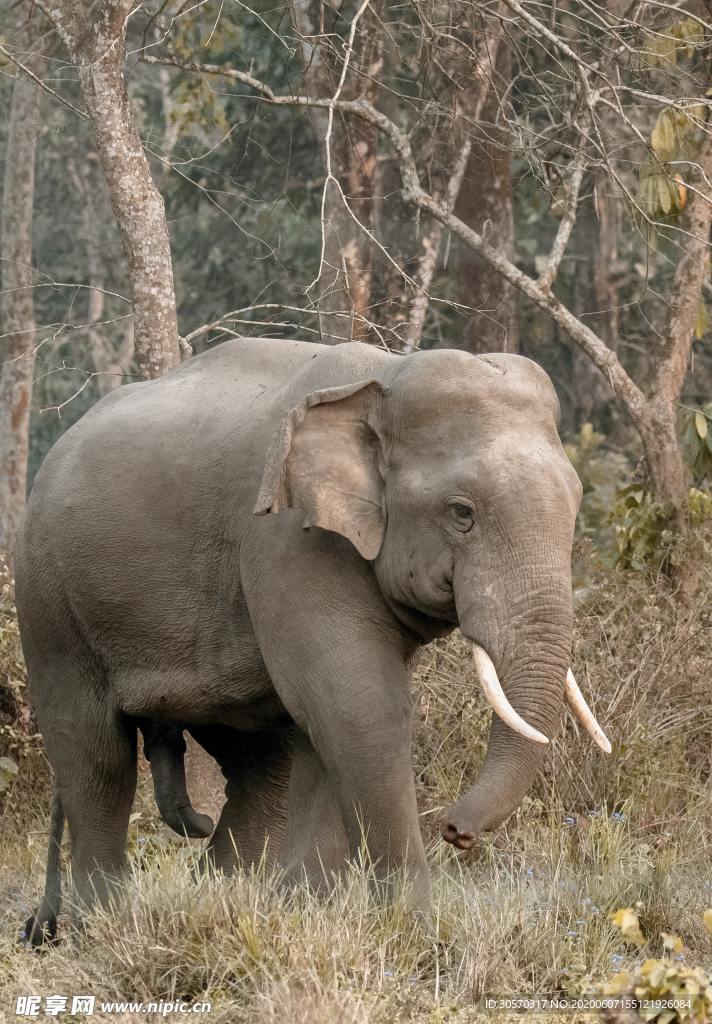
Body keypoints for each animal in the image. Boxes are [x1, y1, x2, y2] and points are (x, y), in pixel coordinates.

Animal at [15, 337, 610, 945]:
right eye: (461, 512)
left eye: (575, 505)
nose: (455, 830)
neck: (383, 377)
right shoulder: (289, 541)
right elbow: (359, 708)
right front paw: (414, 935)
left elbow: (329, 721)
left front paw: (310, 914)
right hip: (48, 595)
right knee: (95, 753)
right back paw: (99, 928)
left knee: (263, 764)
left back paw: (223, 901)